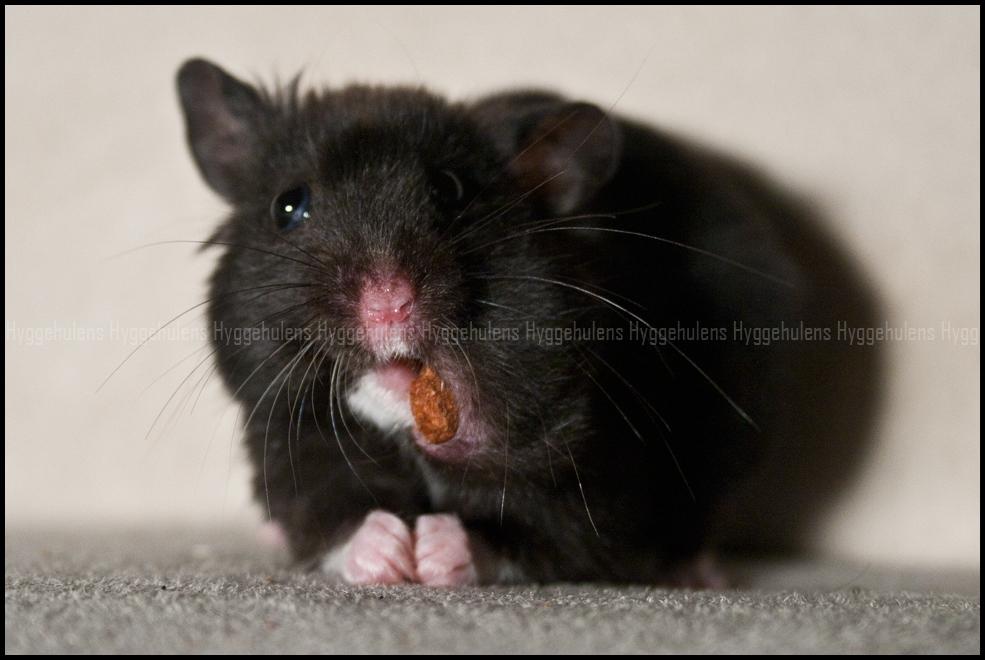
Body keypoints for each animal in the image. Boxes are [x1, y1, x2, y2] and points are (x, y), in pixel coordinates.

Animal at [175, 57, 814, 586]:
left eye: (450, 190)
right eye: (289, 206)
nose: (389, 305)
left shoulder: (593, 469)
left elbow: (533, 526)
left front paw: (434, 549)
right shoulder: (290, 435)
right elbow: (330, 511)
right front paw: (389, 555)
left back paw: (700, 574)